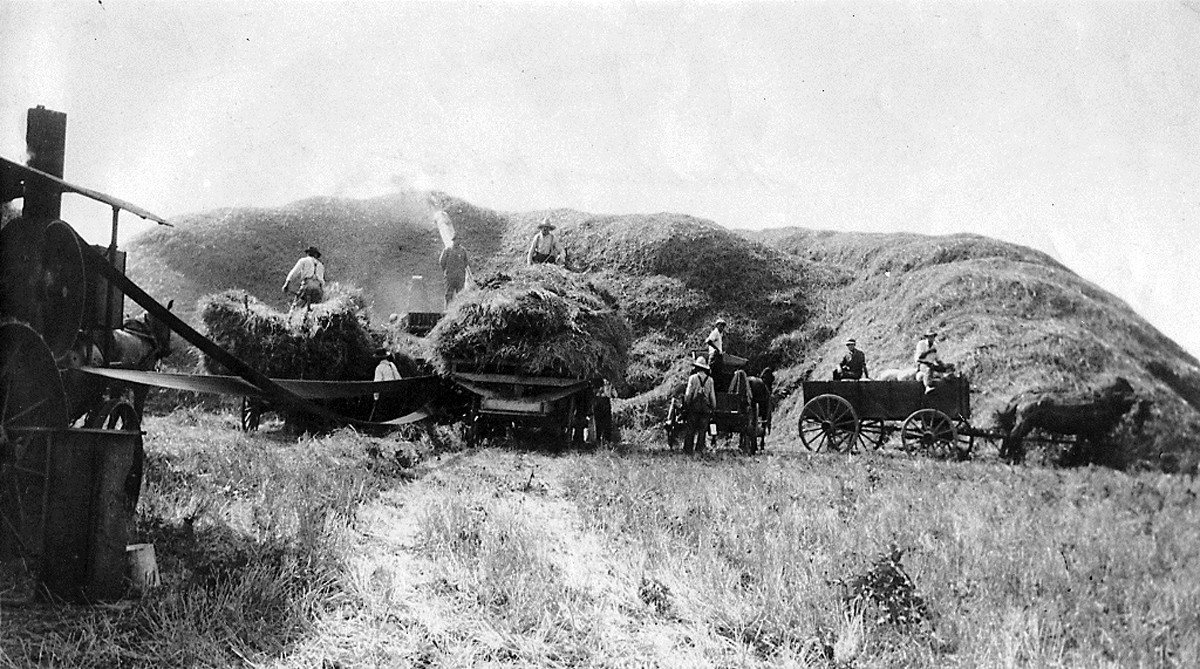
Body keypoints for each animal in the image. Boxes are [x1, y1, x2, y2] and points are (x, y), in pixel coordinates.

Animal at [993, 378, 1152, 467]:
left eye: (1147, 411)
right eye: (1139, 409)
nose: (1137, 429)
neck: (1107, 400)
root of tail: (1022, 397)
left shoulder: (1084, 433)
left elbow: (1079, 447)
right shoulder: (1092, 433)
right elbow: (1092, 448)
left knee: (1012, 437)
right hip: (1024, 424)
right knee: (1011, 437)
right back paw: (1008, 457)